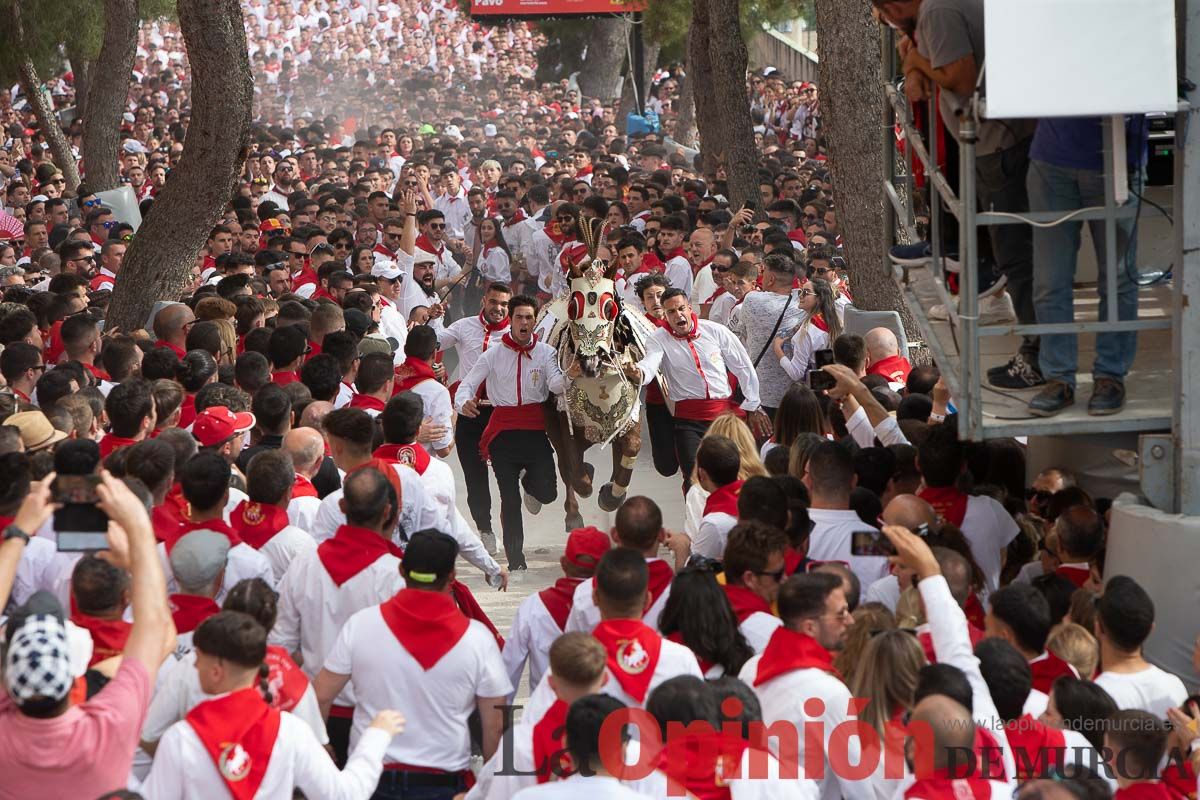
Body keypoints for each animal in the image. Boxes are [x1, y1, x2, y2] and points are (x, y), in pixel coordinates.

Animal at [540, 221, 662, 527]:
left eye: (610, 307)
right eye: (574, 307)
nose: (590, 362)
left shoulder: (628, 415)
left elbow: (631, 448)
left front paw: (611, 495)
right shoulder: (566, 421)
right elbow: (576, 473)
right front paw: (589, 489)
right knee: (566, 467)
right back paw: (573, 513)